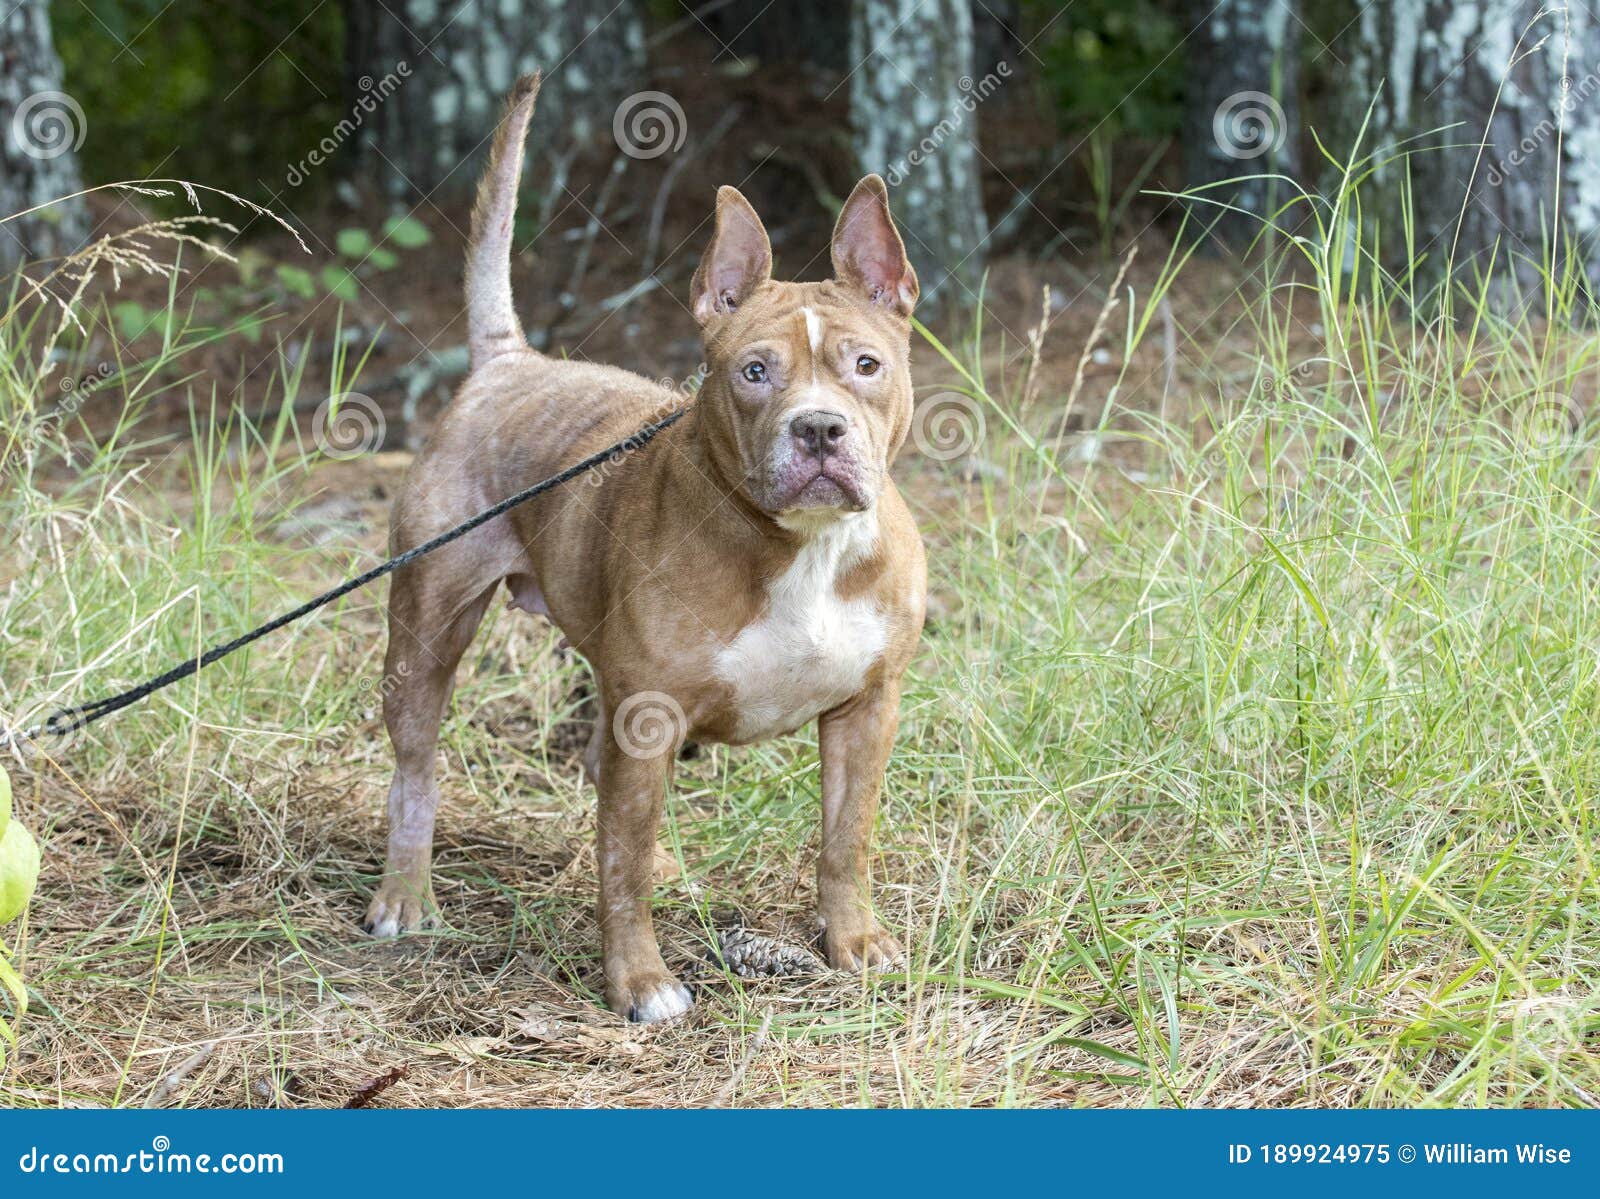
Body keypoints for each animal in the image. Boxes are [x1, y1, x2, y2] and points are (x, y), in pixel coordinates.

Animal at [363, 74, 928, 1018]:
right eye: (754, 372)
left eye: (866, 366)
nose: (819, 429)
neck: (798, 548)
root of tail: (508, 363)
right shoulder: (651, 709)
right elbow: (619, 869)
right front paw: (640, 980)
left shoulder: (867, 707)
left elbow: (845, 839)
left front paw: (854, 941)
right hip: (426, 632)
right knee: (416, 768)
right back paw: (405, 896)